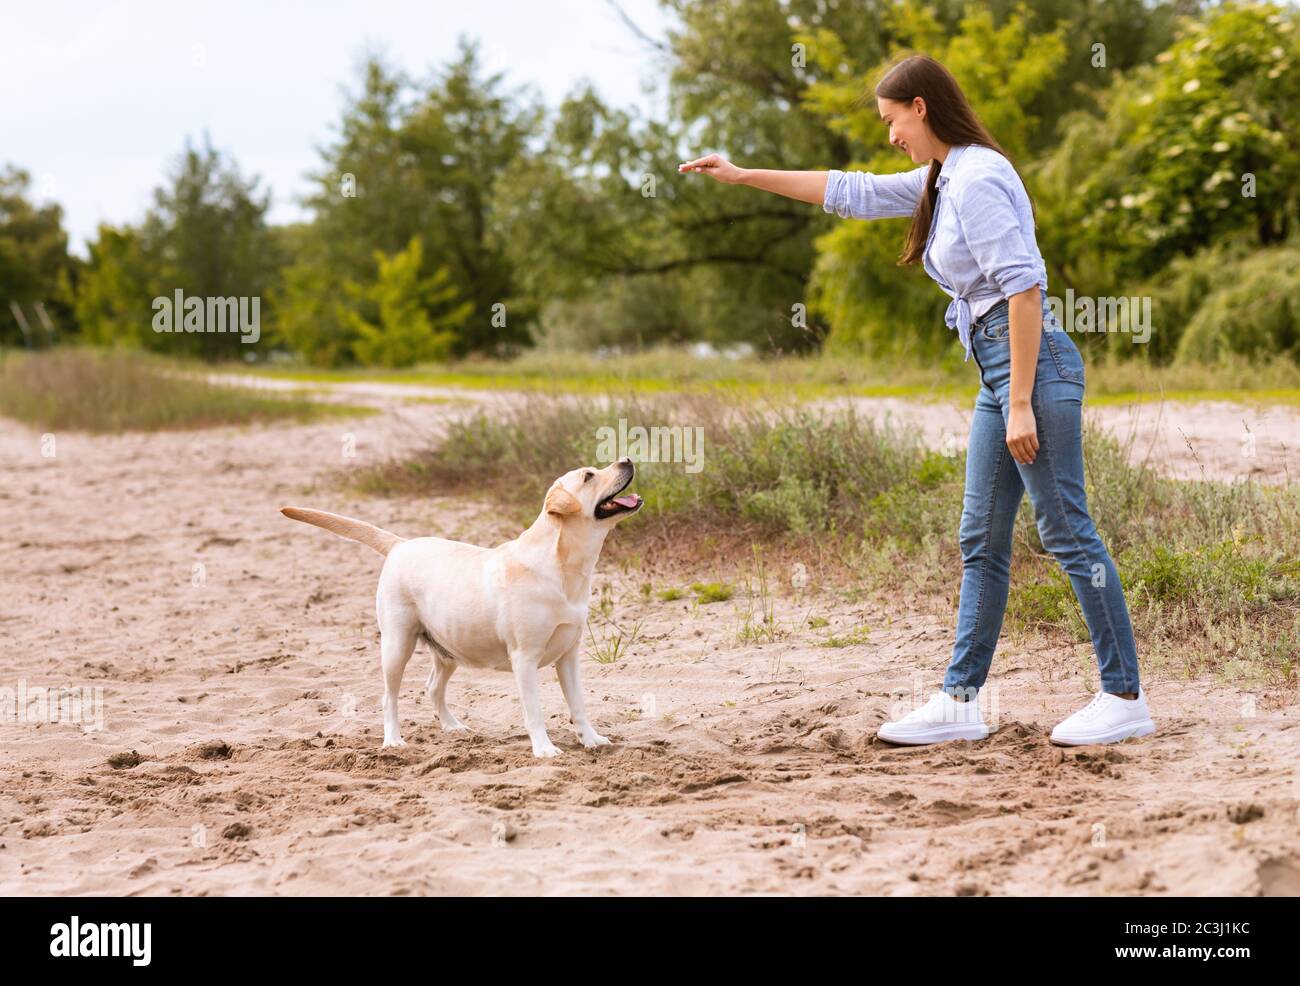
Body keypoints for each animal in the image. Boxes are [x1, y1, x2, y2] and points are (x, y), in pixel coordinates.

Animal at [280, 460, 639, 754]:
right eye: (589, 476)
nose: (627, 459)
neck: (563, 566)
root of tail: (400, 545)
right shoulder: (524, 658)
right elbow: (534, 711)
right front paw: (544, 749)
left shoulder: (569, 656)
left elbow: (579, 705)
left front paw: (591, 739)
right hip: (396, 645)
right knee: (389, 697)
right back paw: (393, 740)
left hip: (448, 649)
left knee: (432, 688)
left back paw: (453, 727)